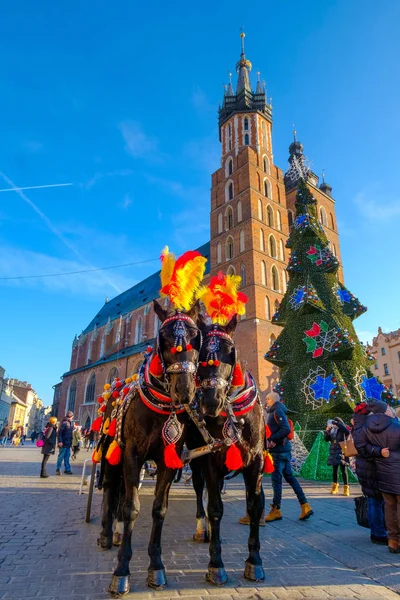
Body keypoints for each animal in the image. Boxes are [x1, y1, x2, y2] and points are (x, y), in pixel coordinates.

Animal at [97, 300, 203, 596]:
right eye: (163, 337)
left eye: (196, 337)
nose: (184, 390)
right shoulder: (132, 455)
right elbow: (131, 508)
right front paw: (121, 572)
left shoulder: (169, 460)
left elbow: (158, 509)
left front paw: (156, 567)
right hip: (111, 451)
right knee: (110, 489)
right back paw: (107, 534)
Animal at [188, 314, 266, 584]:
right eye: (199, 352)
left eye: (230, 352)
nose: (211, 401)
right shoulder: (210, 462)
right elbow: (214, 509)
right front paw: (216, 565)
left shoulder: (256, 464)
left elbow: (254, 507)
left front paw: (254, 562)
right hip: (196, 461)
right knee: (200, 493)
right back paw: (202, 529)